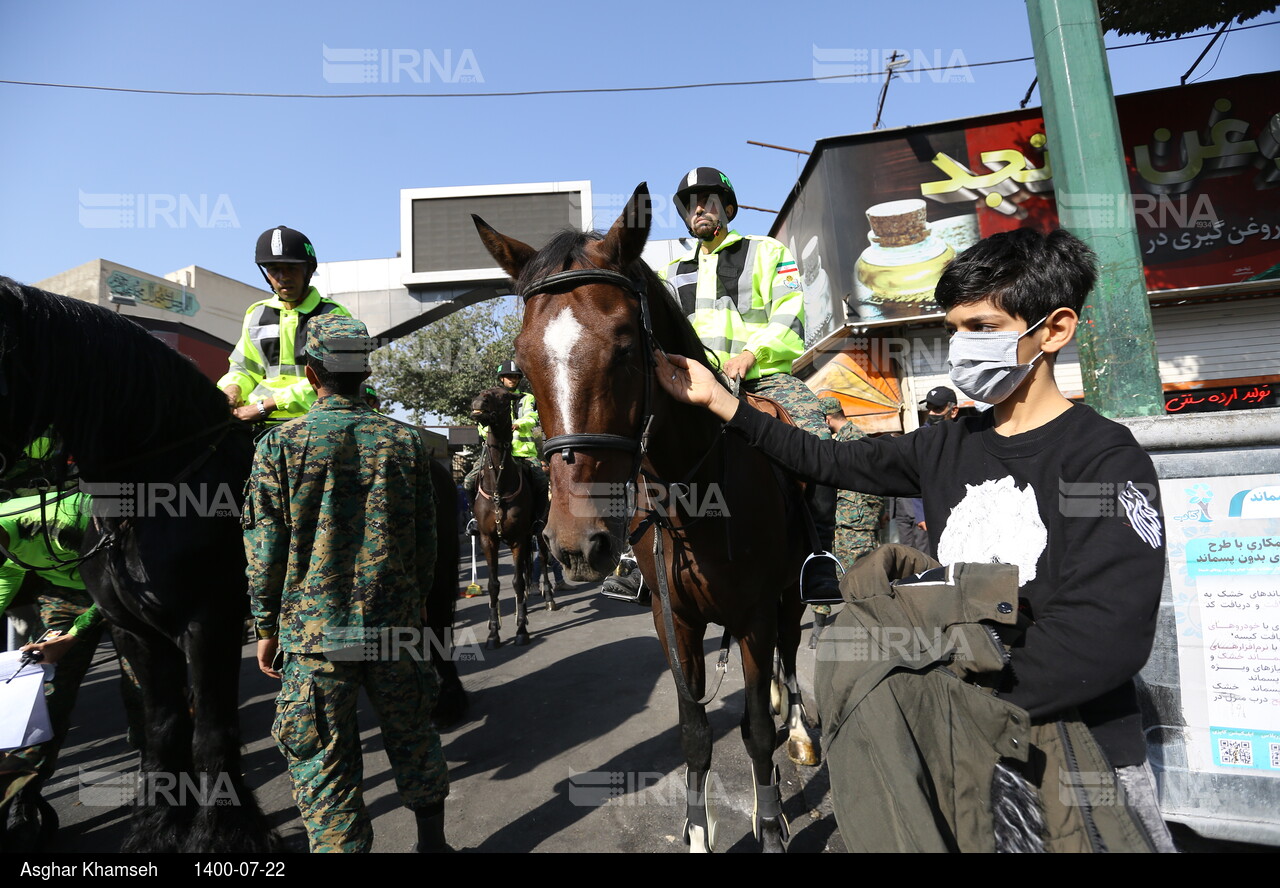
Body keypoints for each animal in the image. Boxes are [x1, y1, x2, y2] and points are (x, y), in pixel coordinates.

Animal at [0, 278, 465, 849]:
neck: (154, 493)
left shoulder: (209, 625)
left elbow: (211, 732)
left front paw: (224, 832)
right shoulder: (133, 632)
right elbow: (162, 731)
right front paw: (157, 829)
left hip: (436, 576)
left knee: (437, 633)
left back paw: (448, 703)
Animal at [468, 386, 552, 650]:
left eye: (504, 397)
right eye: (481, 393)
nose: (479, 402)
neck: (498, 487)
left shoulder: (518, 538)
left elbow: (517, 581)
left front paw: (521, 630)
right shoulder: (488, 539)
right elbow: (494, 585)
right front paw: (493, 632)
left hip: (539, 532)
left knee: (542, 561)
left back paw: (548, 597)